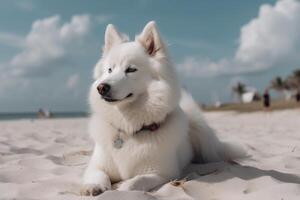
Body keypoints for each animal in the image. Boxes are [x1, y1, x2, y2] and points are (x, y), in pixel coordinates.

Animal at [81, 21, 245, 196]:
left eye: (131, 69)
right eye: (110, 70)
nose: (101, 87)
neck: (131, 128)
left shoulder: (164, 173)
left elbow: (137, 181)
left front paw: (123, 189)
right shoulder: (96, 166)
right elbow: (99, 175)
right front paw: (93, 186)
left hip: (204, 138)